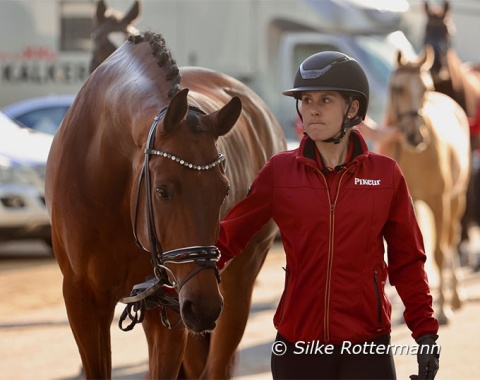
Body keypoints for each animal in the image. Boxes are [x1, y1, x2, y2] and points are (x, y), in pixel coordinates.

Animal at [44, 31, 284, 378]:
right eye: (161, 191)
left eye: (224, 191)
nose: (205, 307)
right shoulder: (82, 299)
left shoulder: (170, 303)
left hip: (234, 285)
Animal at [380, 47, 470, 324]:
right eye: (398, 88)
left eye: (426, 88)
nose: (415, 136)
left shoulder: (438, 202)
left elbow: (439, 253)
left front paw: (442, 310)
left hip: (456, 199)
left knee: (451, 241)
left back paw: (455, 297)